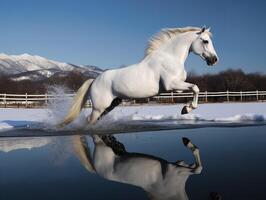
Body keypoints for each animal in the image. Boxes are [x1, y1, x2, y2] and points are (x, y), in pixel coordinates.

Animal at [60, 25, 218, 125]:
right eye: (205, 41)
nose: (214, 60)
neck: (169, 57)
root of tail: (94, 80)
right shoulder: (171, 85)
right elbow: (196, 88)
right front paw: (186, 109)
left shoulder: (177, 88)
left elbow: (194, 89)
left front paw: (186, 108)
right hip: (99, 107)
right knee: (90, 121)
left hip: (111, 105)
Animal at [72, 135, 202, 199]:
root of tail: (96, 170)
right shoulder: (173, 169)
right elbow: (198, 168)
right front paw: (187, 142)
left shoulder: (180, 166)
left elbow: (194, 165)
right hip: (101, 147)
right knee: (95, 136)